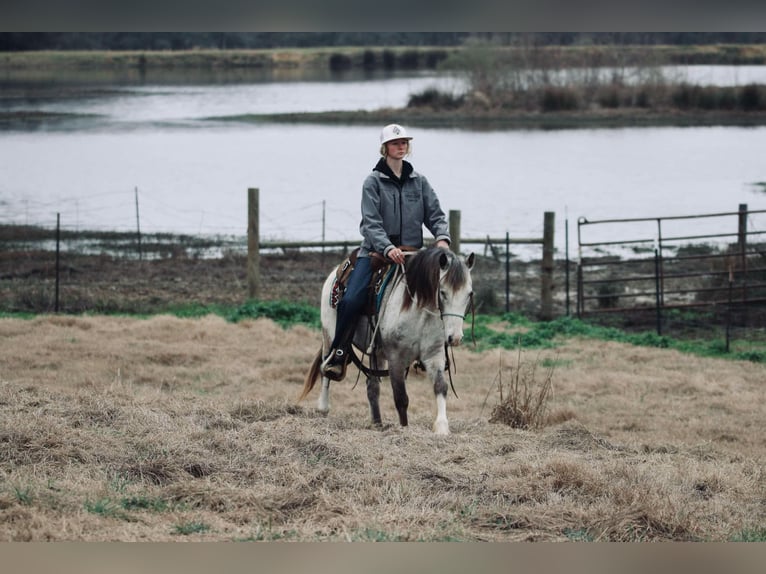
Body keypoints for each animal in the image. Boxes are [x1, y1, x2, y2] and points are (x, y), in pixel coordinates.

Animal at [300, 248, 474, 436]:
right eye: (442, 292)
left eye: (469, 294)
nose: (455, 338)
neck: (419, 312)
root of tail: (336, 272)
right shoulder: (396, 358)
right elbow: (401, 398)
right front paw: (404, 429)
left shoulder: (434, 355)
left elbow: (440, 386)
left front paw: (442, 427)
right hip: (329, 336)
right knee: (325, 368)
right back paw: (323, 407)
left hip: (375, 353)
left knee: (372, 386)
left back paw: (377, 423)